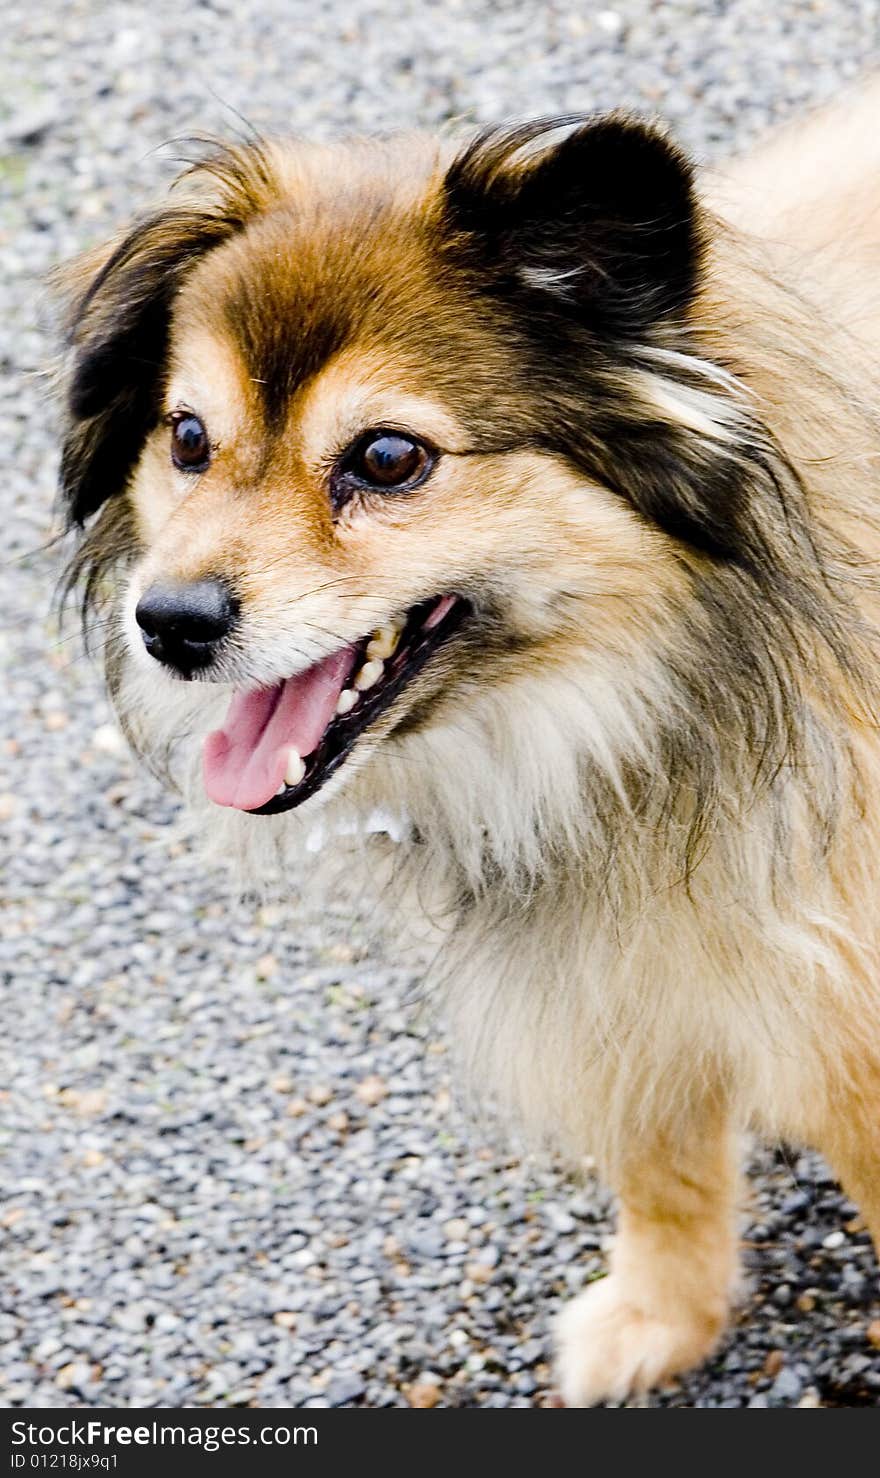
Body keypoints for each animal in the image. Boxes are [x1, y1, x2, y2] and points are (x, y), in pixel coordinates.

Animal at [53, 86, 880, 1401]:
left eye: (389, 457)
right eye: (186, 437)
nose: (168, 623)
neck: (631, 708)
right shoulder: (615, 974)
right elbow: (658, 1160)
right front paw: (659, 1317)